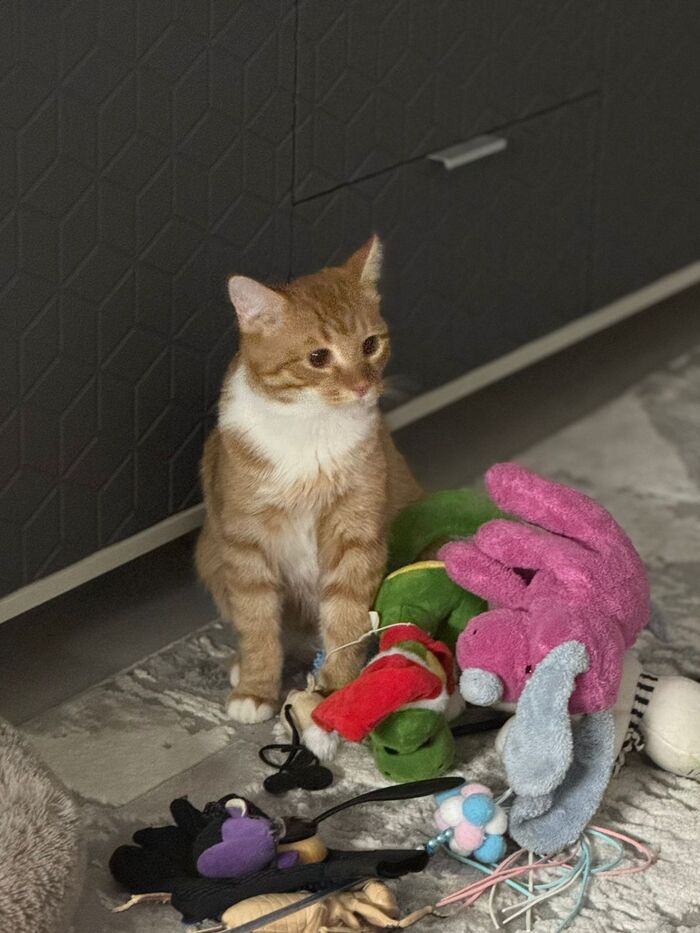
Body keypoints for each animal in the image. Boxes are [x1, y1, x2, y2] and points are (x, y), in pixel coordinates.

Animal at [195, 236, 422, 723]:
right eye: (319, 357)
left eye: (370, 345)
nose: (362, 387)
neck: (312, 428)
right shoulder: (245, 541)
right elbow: (258, 623)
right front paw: (256, 688)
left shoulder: (356, 532)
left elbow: (345, 619)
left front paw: (336, 689)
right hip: (210, 555)